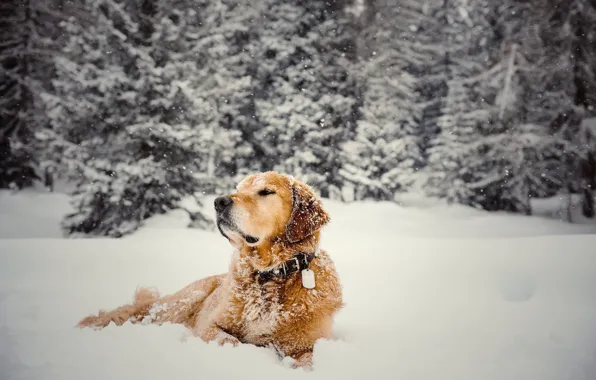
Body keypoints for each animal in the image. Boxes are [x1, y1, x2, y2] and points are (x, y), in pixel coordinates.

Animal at [77, 171, 342, 368]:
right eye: (238, 188)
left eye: (266, 192)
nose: (219, 201)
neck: (269, 276)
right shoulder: (209, 325)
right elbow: (230, 341)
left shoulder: (308, 343)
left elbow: (307, 361)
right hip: (181, 303)